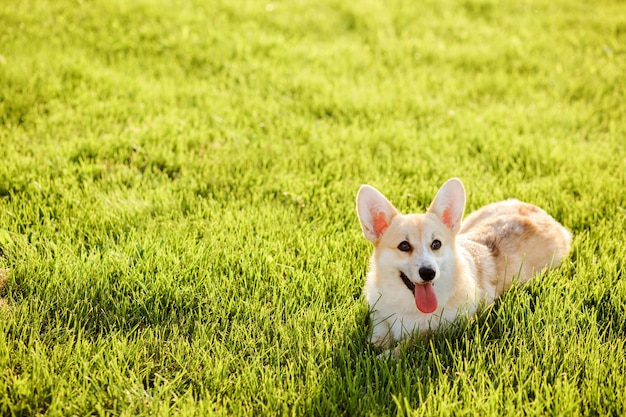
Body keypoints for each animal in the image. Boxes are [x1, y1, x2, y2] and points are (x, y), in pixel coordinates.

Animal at [354, 177, 568, 350]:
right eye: (404, 246)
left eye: (436, 244)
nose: (428, 272)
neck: (408, 305)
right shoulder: (379, 314)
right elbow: (378, 333)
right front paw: (374, 346)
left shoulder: (444, 331)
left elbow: (411, 343)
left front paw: (384, 356)